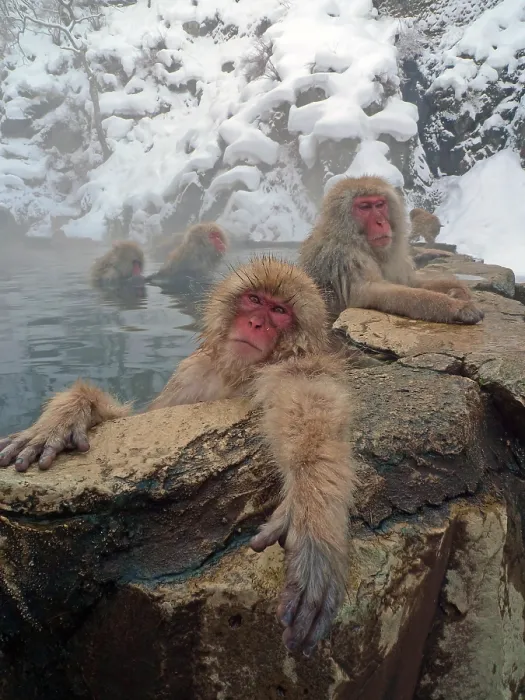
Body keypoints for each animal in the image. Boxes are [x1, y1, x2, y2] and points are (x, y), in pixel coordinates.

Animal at [0, 256, 358, 657]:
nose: (256, 323)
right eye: (254, 300)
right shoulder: (191, 373)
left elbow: (312, 410)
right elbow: (146, 415)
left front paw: (315, 515)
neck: (237, 375)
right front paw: (67, 415)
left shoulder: (298, 365)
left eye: (279, 311)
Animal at [299, 176, 484, 325]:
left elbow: (408, 282)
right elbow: (372, 293)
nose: (381, 222)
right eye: (364, 207)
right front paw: (455, 307)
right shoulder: (343, 258)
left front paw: (457, 288)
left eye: (380, 204)